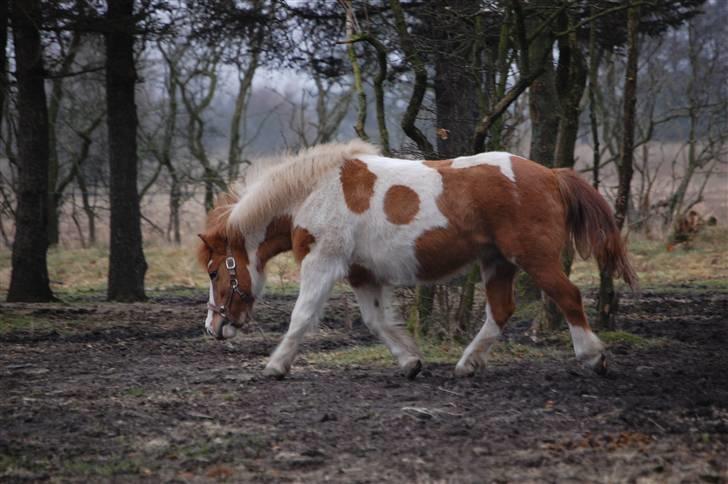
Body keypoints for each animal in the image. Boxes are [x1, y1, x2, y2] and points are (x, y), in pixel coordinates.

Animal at [196, 139, 636, 378]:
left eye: (215, 271)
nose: (213, 327)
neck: (314, 191)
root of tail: (550, 175)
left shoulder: (322, 262)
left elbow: (302, 316)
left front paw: (276, 365)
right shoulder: (361, 274)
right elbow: (376, 321)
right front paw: (410, 361)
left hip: (535, 258)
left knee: (568, 297)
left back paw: (593, 357)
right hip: (497, 262)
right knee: (500, 310)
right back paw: (467, 364)